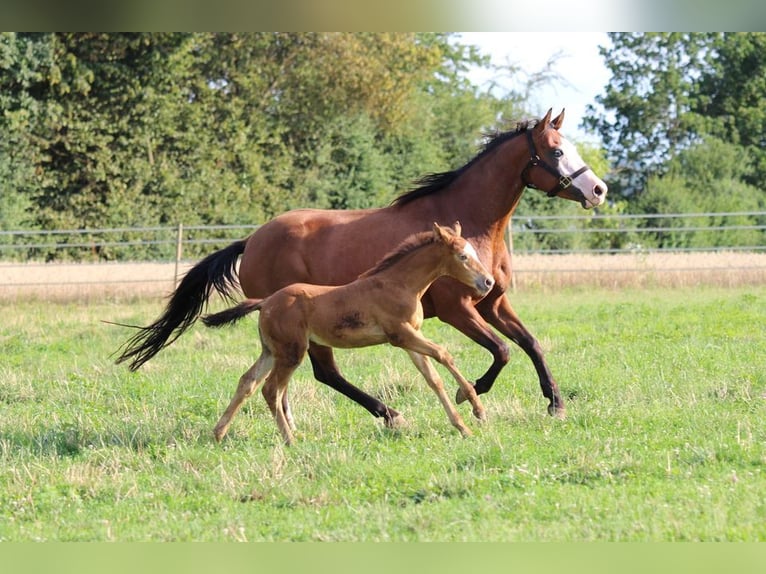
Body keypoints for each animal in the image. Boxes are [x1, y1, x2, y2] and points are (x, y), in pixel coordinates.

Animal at [115, 109, 608, 424]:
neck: (472, 222)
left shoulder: (492, 303)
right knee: (324, 372)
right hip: (306, 327)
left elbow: (531, 344)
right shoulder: (458, 310)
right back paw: (389, 414)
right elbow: (502, 351)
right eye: (556, 151)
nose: (599, 190)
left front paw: (555, 404)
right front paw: (469, 395)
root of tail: (251, 240)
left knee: (310, 376)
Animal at [201, 223, 496, 448]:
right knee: (271, 389)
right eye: (463, 257)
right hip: (291, 352)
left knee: (248, 381)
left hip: (272, 351)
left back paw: (218, 433)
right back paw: (290, 439)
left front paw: (463, 426)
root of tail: (266, 302)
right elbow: (444, 354)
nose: (488, 282)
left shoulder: (411, 340)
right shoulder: (400, 335)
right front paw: (477, 409)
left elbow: (433, 379)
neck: (399, 284)